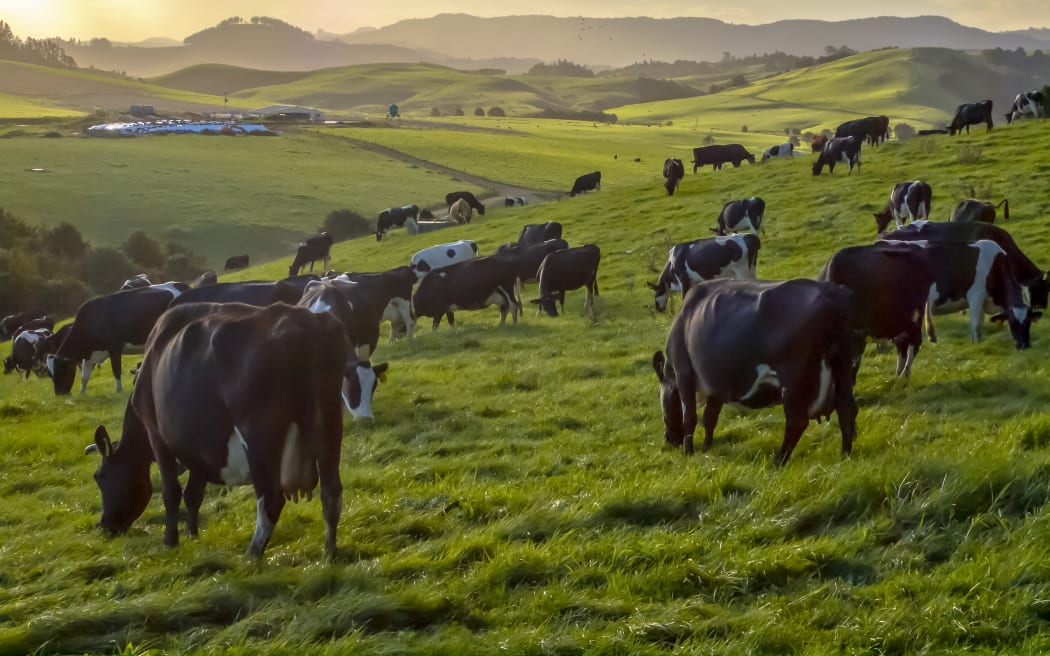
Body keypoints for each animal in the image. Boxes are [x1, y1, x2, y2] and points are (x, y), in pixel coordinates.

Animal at [46, 283, 189, 395]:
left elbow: (116, 370)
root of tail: (182, 285)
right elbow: (84, 377)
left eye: (60, 372)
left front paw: (119, 391)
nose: (59, 394)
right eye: (50, 375)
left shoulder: (114, 348)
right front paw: (81, 393)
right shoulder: (88, 355)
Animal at [86, 301, 348, 558]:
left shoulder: (156, 434)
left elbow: (172, 492)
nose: (103, 525)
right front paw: (192, 533)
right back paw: (329, 552)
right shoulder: (200, 450)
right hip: (330, 423)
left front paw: (171, 541)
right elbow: (193, 494)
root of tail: (307, 321)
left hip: (260, 435)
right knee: (331, 492)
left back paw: (252, 555)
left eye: (100, 477)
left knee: (271, 499)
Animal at [652, 278, 857, 465]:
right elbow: (710, 417)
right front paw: (706, 447)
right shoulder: (718, 384)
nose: (669, 440)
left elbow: (690, 416)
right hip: (844, 366)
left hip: (793, 379)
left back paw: (778, 460)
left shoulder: (683, 372)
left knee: (797, 421)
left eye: (659, 395)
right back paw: (844, 456)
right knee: (846, 410)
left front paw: (689, 452)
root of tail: (833, 292)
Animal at [878, 239, 1037, 349]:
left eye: (1029, 322)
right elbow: (976, 324)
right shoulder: (976, 295)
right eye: (1013, 323)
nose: (1025, 346)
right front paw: (976, 344)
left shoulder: (983, 300)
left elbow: (980, 322)